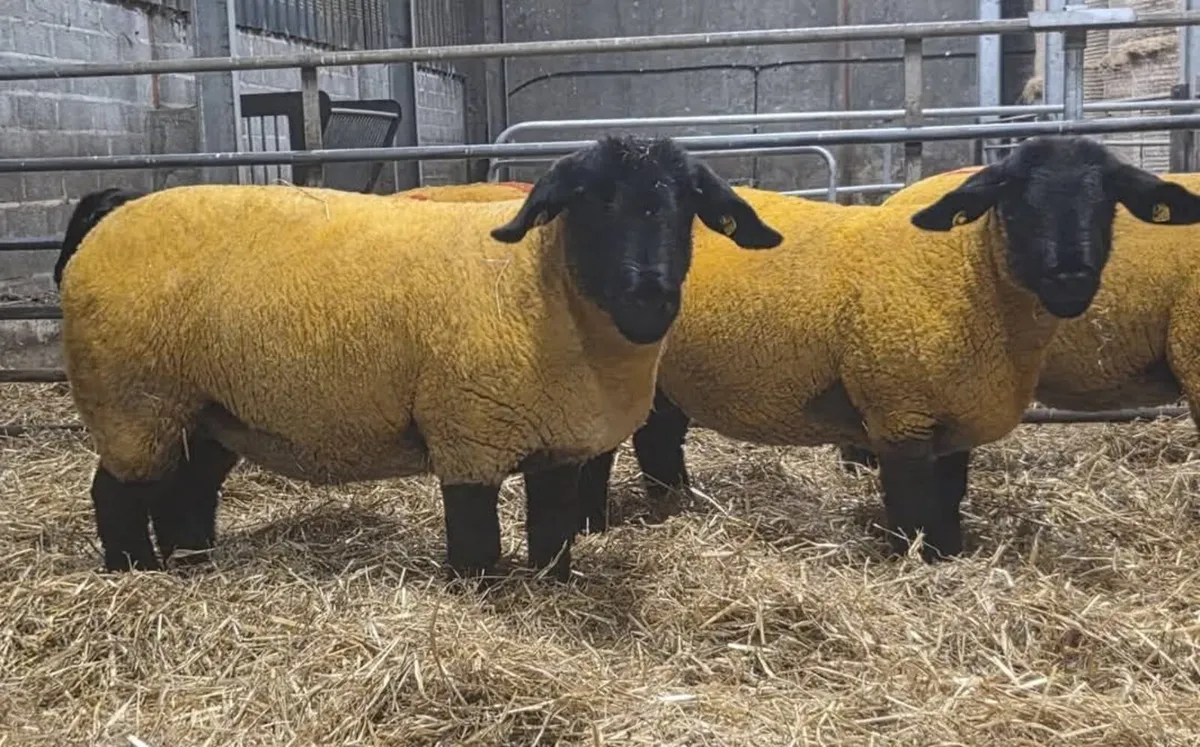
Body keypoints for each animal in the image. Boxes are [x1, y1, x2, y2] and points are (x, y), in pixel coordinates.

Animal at [54, 135, 784, 581]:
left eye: (688, 208)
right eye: (589, 203)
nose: (649, 297)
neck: (537, 283)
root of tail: (112, 216)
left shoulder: (559, 444)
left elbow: (553, 536)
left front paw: (551, 588)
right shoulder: (467, 432)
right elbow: (477, 545)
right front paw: (479, 597)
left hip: (205, 410)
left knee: (186, 491)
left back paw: (193, 562)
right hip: (134, 400)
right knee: (117, 493)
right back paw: (136, 573)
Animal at [550, 135, 1200, 561]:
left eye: (1106, 201)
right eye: (1017, 202)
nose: (1070, 278)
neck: (972, 276)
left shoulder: (950, 415)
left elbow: (948, 503)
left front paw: (951, 559)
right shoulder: (900, 415)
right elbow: (913, 511)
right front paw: (917, 565)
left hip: (665, 380)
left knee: (657, 439)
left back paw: (673, 509)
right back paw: (592, 526)